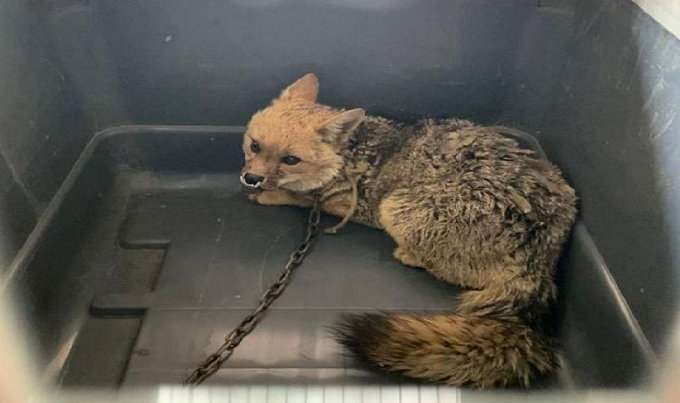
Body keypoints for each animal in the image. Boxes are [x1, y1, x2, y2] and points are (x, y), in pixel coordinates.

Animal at [240, 73, 577, 388]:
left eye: (290, 159)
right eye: (254, 145)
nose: (250, 178)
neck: (348, 156)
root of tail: (538, 260)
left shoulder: (354, 207)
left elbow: (301, 197)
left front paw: (272, 195)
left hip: (395, 207)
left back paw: (408, 254)